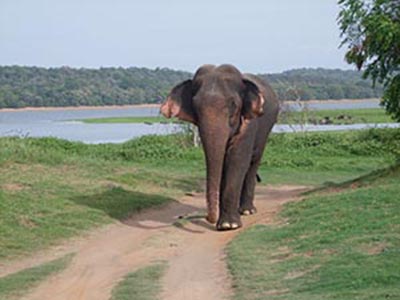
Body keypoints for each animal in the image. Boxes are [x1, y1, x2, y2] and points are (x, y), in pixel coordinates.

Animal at [159, 64, 278, 231]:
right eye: (195, 106)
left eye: (234, 105)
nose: (208, 218)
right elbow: (221, 163)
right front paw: (224, 223)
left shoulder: (249, 125)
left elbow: (237, 160)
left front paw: (229, 225)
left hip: (266, 129)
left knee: (253, 162)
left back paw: (247, 211)